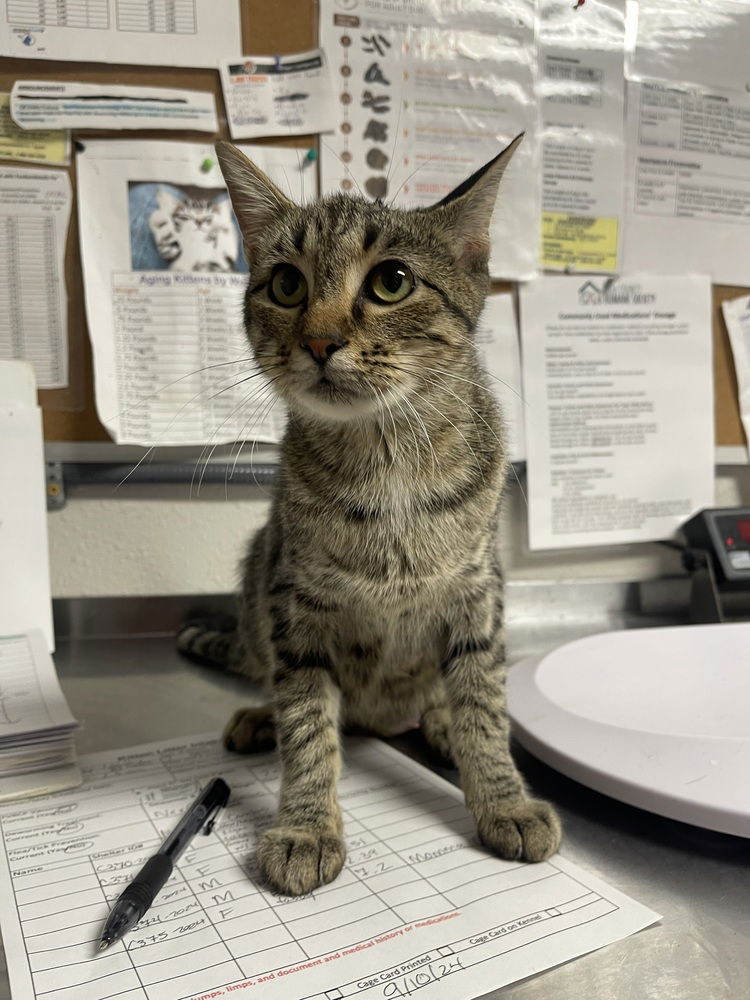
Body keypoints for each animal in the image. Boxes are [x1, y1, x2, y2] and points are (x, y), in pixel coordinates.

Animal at [179, 137, 560, 896]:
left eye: (391, 282)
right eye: (286, 285)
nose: (320, 340)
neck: (385, 460)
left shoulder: (478, 593)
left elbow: (484, 705)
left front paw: (502, 797)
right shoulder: (296, 608)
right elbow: (307, 726)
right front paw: (306, 825)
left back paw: (436, 720)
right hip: (258, 568)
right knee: (283, 685)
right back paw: (261, 714)